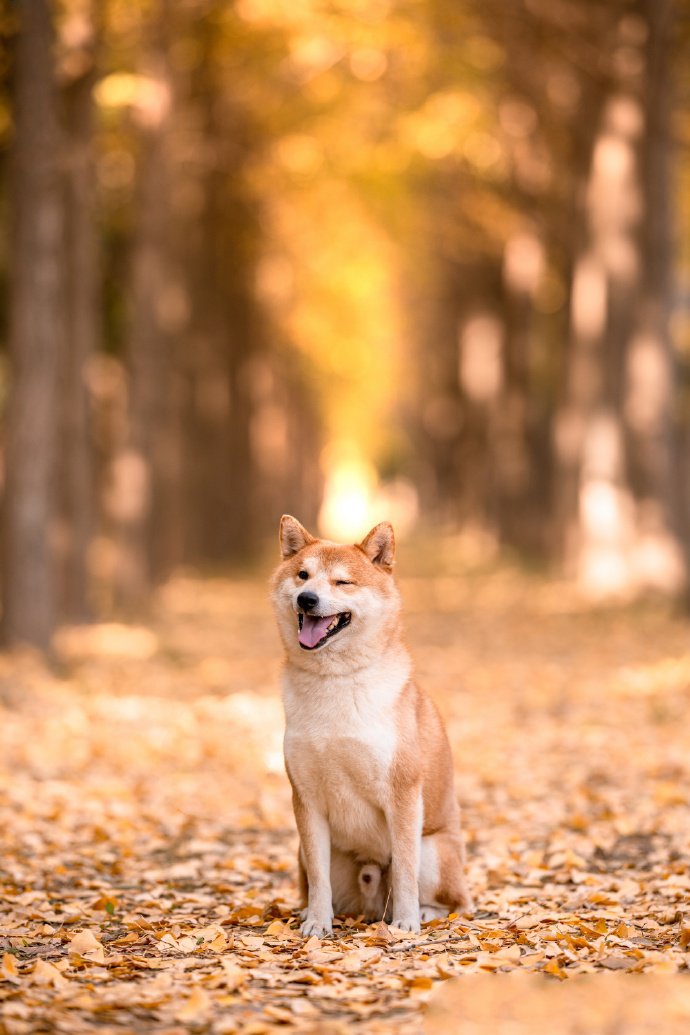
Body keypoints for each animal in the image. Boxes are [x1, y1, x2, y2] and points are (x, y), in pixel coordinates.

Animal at [271, 513, 475, 935]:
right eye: (303, 575)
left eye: (342, 582)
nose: (307, 599)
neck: (335, 682)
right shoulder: (306, 799)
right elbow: (319, 880)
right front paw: (317, 923)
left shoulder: (403, 794)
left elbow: (405, 870)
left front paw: (407, 922)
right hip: (309, 853)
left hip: (434, 850)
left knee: (459, 903)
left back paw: (425, 913)